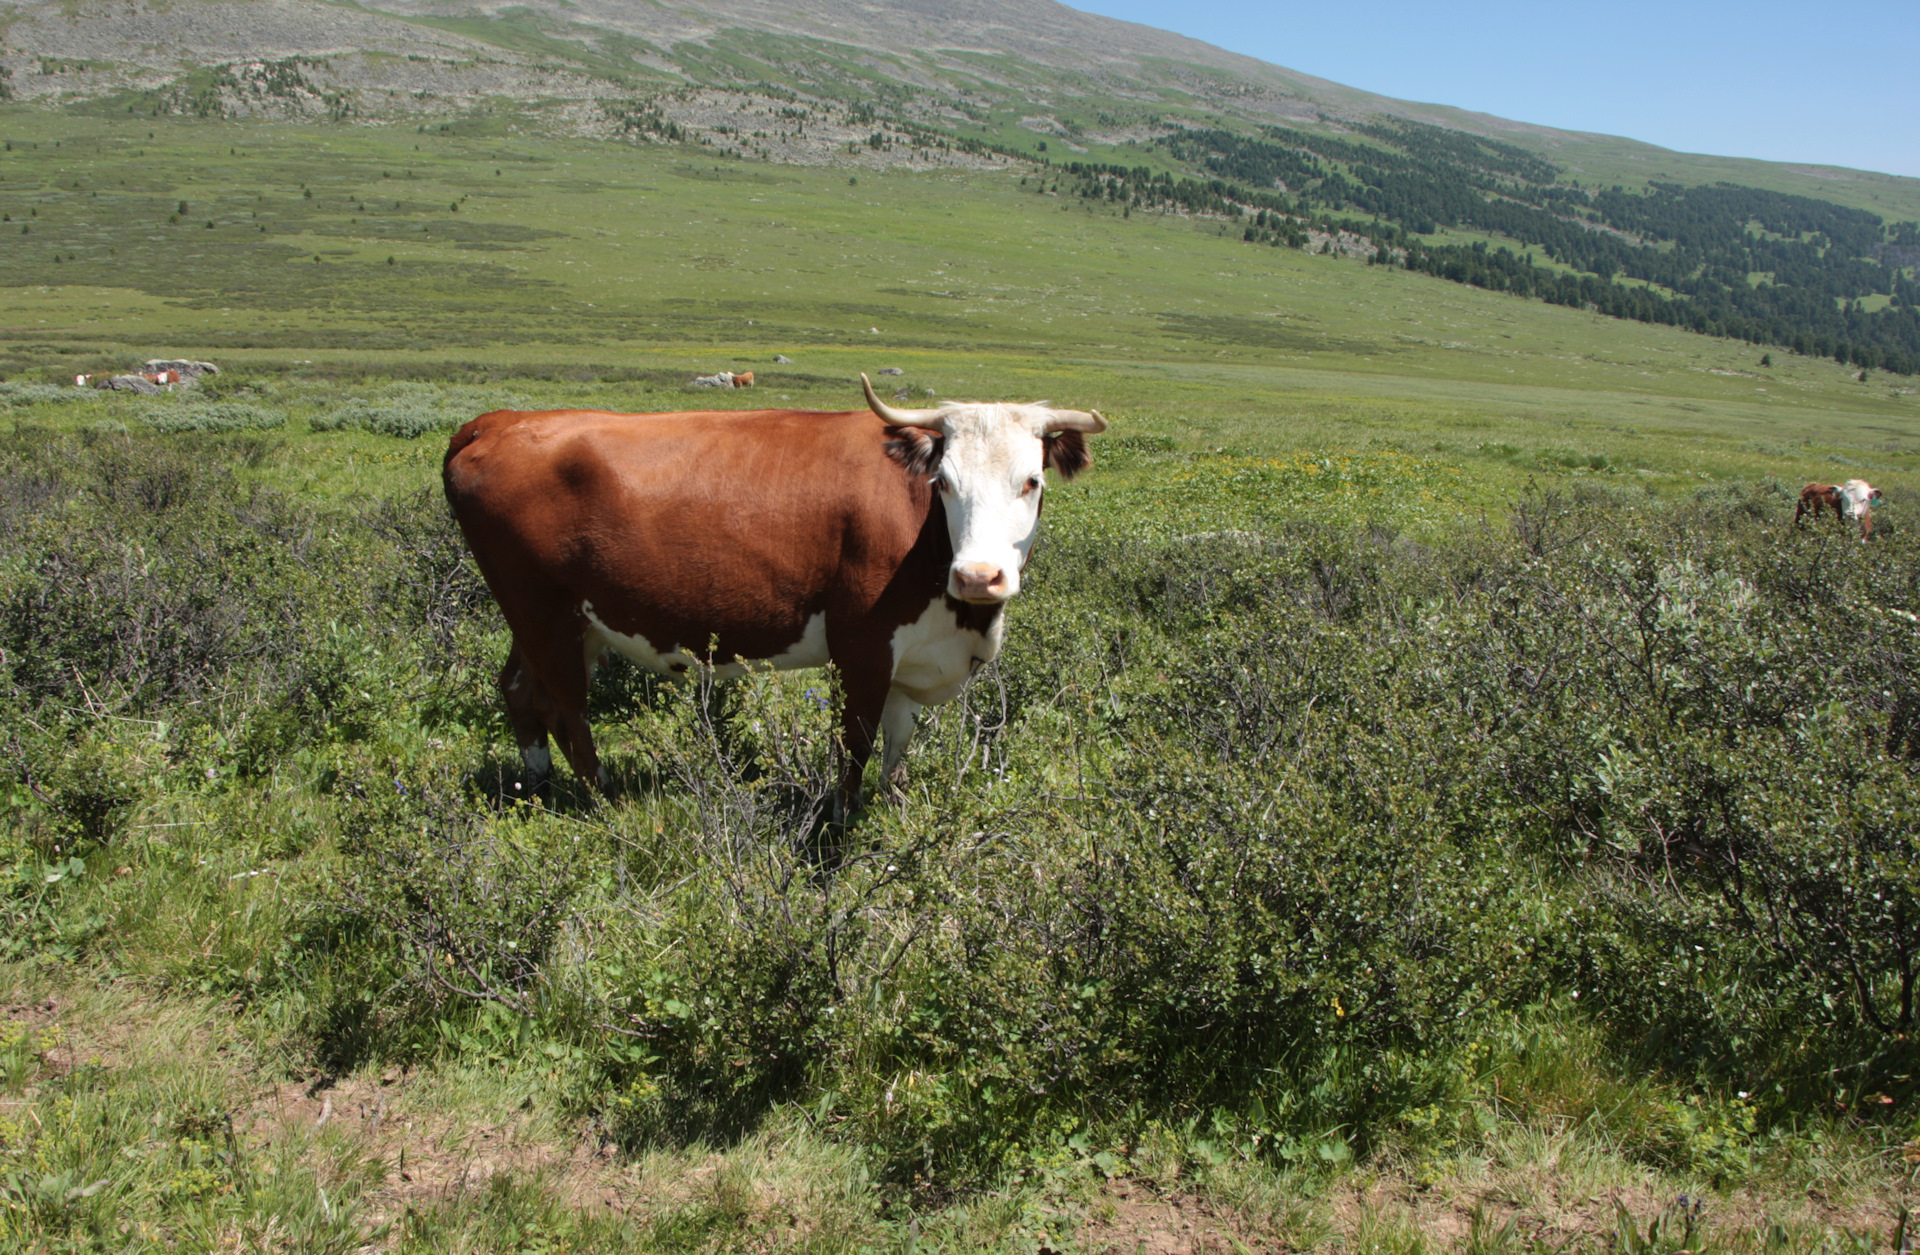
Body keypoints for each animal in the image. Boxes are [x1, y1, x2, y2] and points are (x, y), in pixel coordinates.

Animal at [441, 374, 1105, 817]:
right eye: (944, 482)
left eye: (1032, 480)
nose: (977, 577)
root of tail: (498, 420)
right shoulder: (861, 645)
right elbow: (855, 744)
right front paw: (839, 825)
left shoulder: (913, 655)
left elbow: (897, 744)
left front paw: (892, 810)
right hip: (544, 612)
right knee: (567, 709)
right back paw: (604, 800)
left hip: (549, 621)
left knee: (520, 690)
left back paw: (537, 787)